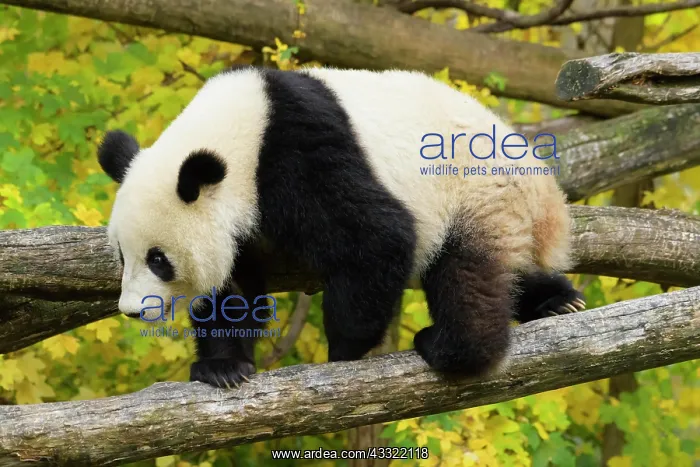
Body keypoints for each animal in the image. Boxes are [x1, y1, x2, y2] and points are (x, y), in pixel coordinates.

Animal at [98, 65, 586, 388]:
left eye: (158, 260)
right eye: (122, 255)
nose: (133, 310)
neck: (238, 132)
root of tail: (546, 194)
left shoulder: (296, 153)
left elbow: (378, 239)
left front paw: (344, 352)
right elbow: (233, 288)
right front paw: (223, 367)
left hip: (478, 193)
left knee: (467, 274)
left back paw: (452, 348)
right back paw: (558, 300)